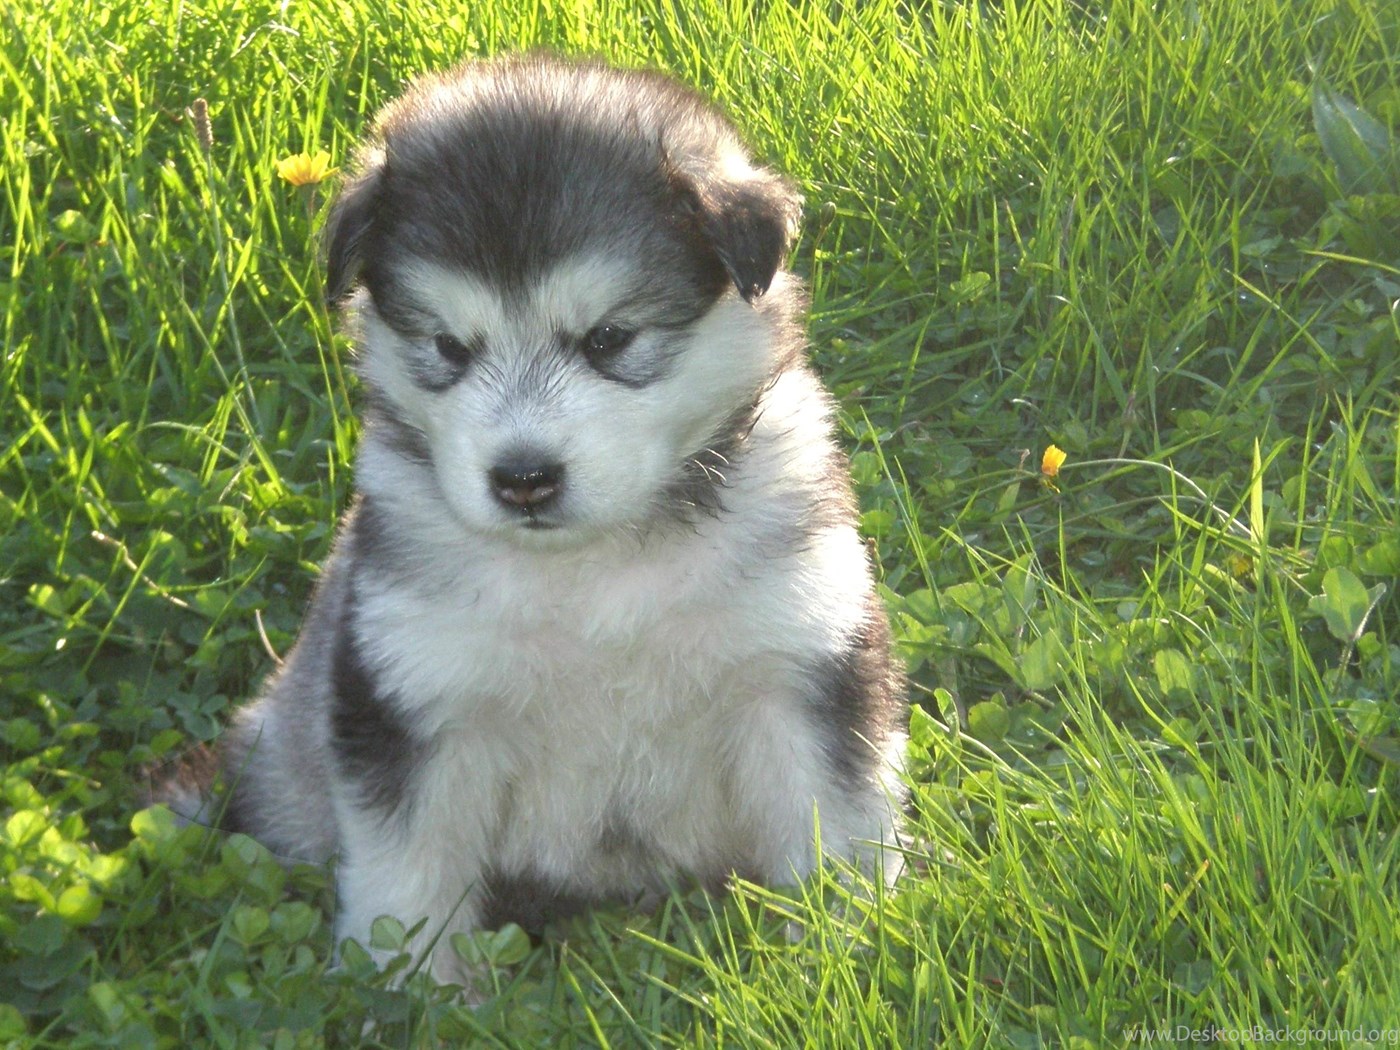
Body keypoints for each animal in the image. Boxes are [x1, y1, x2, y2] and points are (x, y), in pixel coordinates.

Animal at [166, 53, 907, 986]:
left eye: (609, 339)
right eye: (449, 348)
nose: (522, 479)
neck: (594, 580)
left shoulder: (803, 660)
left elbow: (834, 827)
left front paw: (846, 953)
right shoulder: (415, 697)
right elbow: (407, 878)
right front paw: (412, 993)